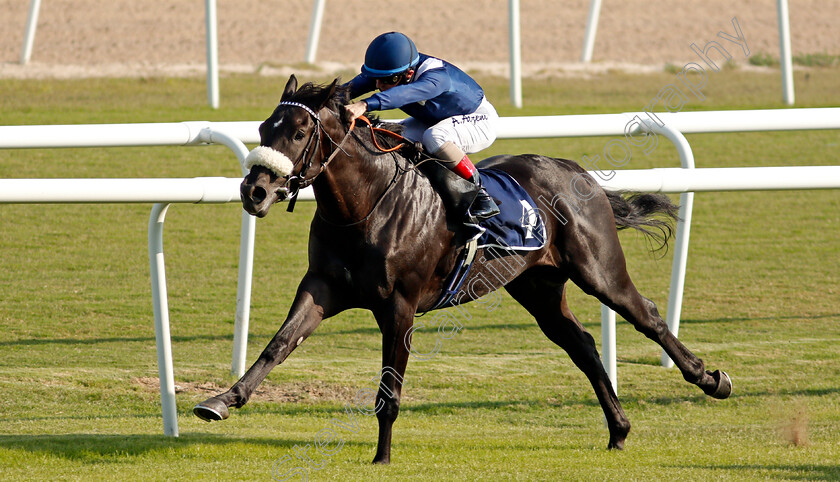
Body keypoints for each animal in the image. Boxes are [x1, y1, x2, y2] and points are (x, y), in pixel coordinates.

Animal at [195, 74, 728, 464]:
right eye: (264, 129)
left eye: (301, 132)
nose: (255, 191)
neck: (364, 207)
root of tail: (578, 172)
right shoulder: (323, 287)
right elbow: (279, 344)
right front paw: (221, 400)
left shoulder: (400, 305)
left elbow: (390, 386)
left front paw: (382, 457)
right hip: (537, 286)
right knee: (581, 344)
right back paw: (618, 430)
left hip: (599, 270)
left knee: (647, 315)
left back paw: (710, 379)